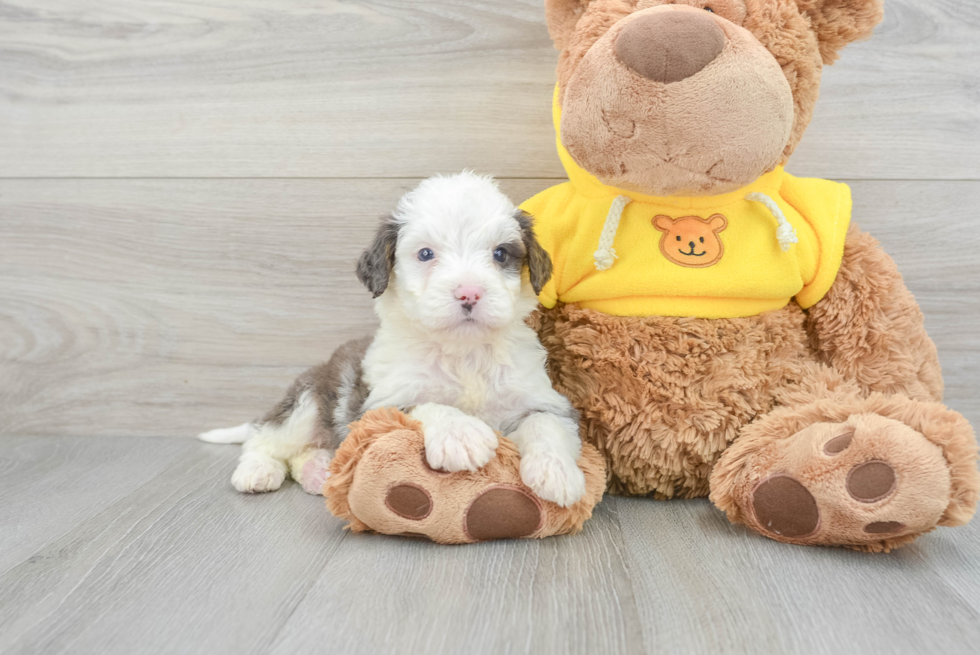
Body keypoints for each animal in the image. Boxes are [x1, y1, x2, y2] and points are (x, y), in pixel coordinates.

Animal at [196, 173, 584, 508]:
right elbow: (425, 405)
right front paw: (460, 433)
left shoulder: (540, 398)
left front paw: (557, 472)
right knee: (264, 438)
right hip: (307, 401)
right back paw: (257, 470)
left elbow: (546, 423)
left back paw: (318, 471)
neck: (463, 355)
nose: (469, 293)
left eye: (501, 254)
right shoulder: (377, 407)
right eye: (426, 254)